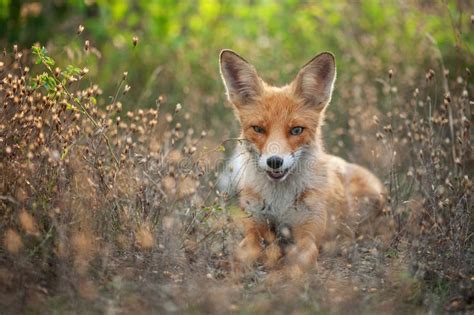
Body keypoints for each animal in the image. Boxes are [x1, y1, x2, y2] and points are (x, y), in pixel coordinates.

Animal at [218, 49, 386, 272]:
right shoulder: (255, 226)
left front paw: (282, 273)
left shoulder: (308, 234)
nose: (274, 162)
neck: (279, 202)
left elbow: (300, 261)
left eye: (296, 130)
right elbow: (242, 252)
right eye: (258, 129)